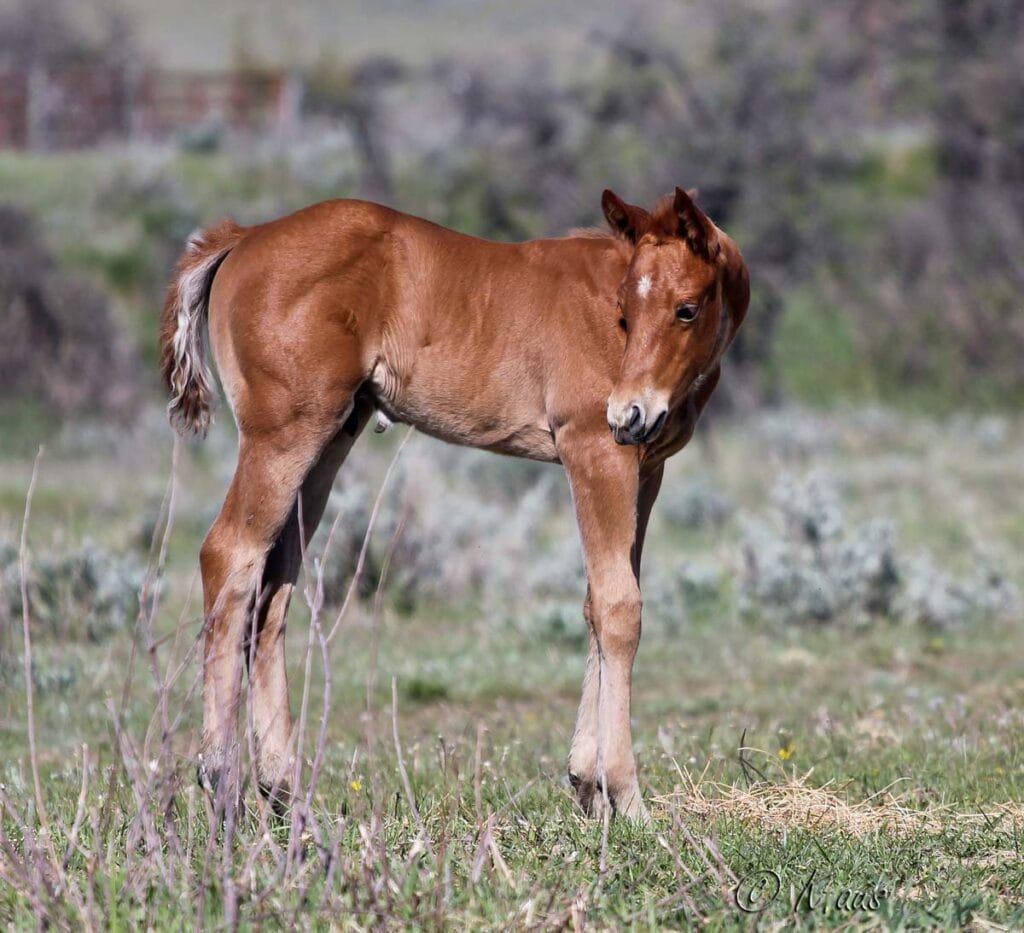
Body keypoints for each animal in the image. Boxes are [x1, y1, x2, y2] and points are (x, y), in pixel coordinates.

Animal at [160, 186, 749, 821]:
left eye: (686, 308)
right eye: (625, 313)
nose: (629, 414)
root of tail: (245, 236)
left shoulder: (647, 468)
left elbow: (597, 602)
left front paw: (587, 786)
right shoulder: (595, 450)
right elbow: (620, 608)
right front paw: (626, 797)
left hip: (328, 441)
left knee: (273, 590)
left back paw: (284, 790)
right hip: (283, 435)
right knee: (229, 556)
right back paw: (223, 783)